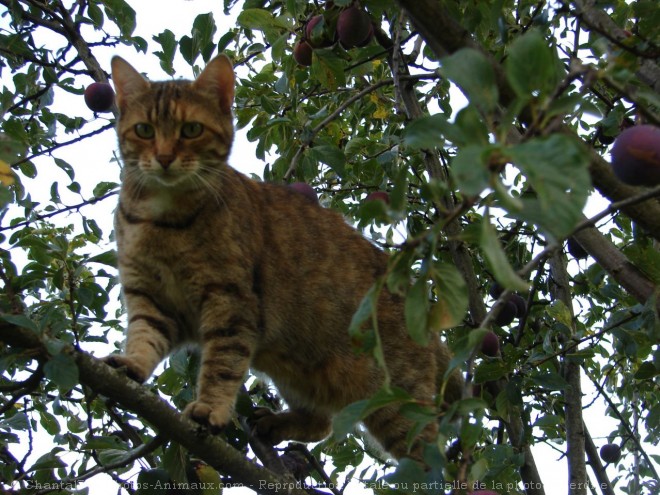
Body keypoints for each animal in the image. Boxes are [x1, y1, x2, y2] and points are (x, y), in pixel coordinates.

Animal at [104, 55, 464, 464]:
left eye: (191, 129)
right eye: (144, 130)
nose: (164, 158)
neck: (162, 219)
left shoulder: (231, 302)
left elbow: (222, 366)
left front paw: (210, 408)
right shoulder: (151, 297)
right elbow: (143, 338)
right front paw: (132, 365)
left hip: (397, 403)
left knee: (431, 460)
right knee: (322, 422)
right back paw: (276, 423)